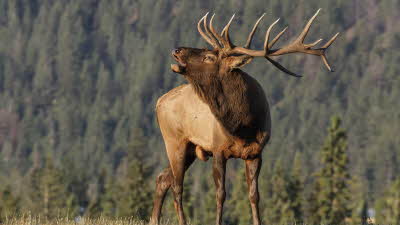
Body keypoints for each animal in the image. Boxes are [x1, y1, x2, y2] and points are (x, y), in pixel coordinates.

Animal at [150, 9, 338, 225]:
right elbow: (220, 194)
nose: (176, 49)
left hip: (188, 149)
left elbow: (254, 195)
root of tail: (159, 101)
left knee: (164, 178)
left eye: (208, 56)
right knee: (177, 186)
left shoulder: (256, 152)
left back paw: (154, 220)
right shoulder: (218, 149)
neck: (243, 126)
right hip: (174, 141)